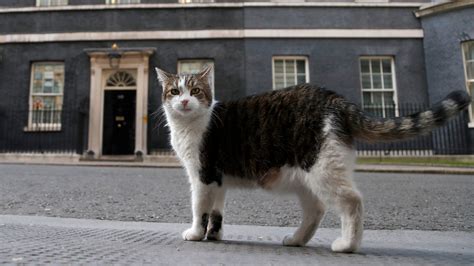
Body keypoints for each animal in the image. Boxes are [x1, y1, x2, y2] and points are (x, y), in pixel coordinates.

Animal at [155, 65, 470, 252]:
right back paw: (296, 240)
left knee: (352, 202)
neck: (191, 125)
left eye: (196, 90)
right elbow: (217, 211)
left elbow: (200, 208)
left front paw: (196, 234)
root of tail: (334, 99)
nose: (184, 101)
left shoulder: (203, 174)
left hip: (322, 169)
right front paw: (214, 235)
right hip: (305, 177)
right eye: (174, 91)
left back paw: (347, 245)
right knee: (316, 210)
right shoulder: (218, 180)